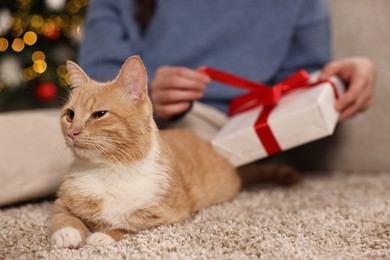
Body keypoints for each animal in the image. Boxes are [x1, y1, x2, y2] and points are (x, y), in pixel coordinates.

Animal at [51, 56, 298, 248]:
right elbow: (63, 215)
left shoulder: (168, 216)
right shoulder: (63, 202)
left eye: (99, 114)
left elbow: (129, 224)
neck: (109, 170)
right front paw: (68, 232)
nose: (72, 132)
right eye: (70, 115)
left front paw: (103, 235)